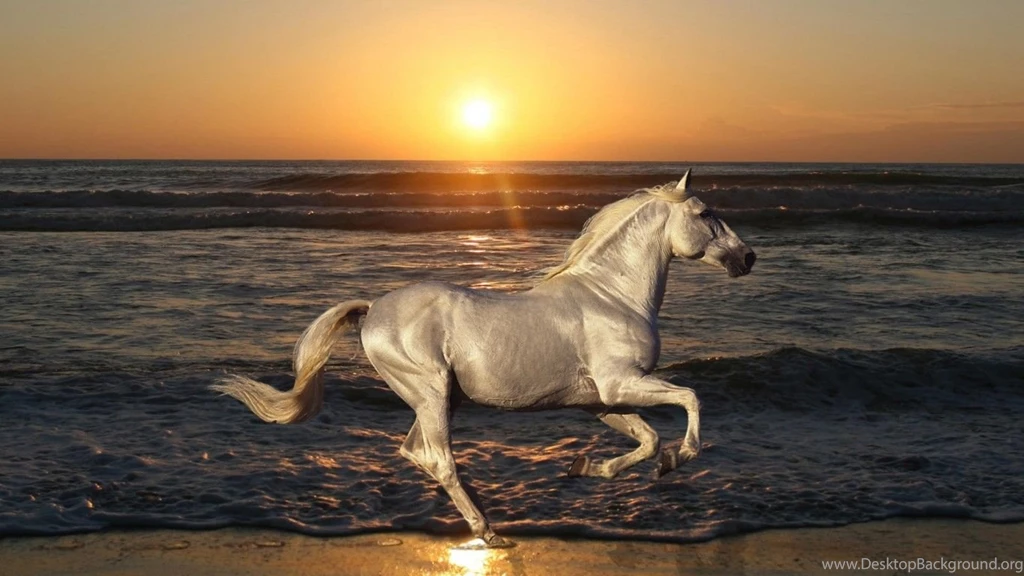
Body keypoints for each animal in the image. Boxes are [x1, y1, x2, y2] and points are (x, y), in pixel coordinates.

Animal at [212, 169, 756, 548]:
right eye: (706, 213)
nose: (747, 258)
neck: (611, 296)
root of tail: (373, 310)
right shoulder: (621, 384)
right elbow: (690, 400)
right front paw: (678, 459)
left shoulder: (600, 401)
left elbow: (646, 441)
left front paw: (586, 467)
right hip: (431, 393)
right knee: (438, 459)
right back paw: (488, 529)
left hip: (439, 400)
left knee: (417, 453)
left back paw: (486, 514)